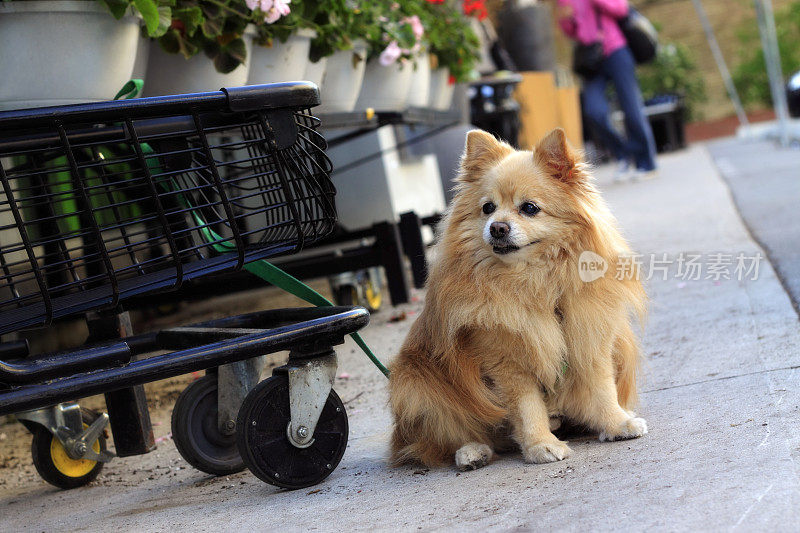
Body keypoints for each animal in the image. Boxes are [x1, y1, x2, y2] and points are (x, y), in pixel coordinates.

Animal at [390, 127, 648, 468]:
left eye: (529, 208)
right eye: (487, 208)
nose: (497, 227)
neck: (533, 281)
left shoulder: (589, 341)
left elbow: (602, 387)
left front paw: (616, 423)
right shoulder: (506, 361)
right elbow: (527, 408)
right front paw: (541, 444)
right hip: (416, 383)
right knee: (442, 438)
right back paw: (471, 451)